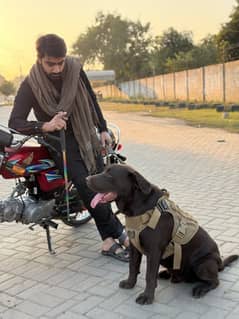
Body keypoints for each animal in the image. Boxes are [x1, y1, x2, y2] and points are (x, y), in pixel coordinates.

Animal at [86, 165, 237, 304]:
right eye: (104, 171)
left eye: (110, 175)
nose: (86, 179)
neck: (139, 207)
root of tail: (220, 263)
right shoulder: (134, 246)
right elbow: (133, 267)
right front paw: (130, 284)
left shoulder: (154, 250)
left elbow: (149, 275)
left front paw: (147, 297)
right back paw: (167, 274)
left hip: (204, 264)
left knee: (215, 281)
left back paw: (200, 288)